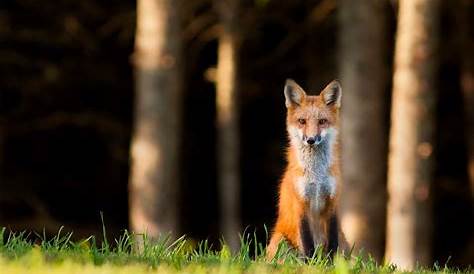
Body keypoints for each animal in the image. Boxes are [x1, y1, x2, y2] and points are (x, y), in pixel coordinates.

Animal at [264, 78, 350, 260]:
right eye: (302, 121)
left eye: (322, 121)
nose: (311, 139)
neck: (316, 176)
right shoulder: (301, 203)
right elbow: (307, 242)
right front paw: (311, 263)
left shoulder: (332, 201)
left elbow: (332, 242)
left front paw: (330, 263)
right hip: (281, 241)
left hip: (344, 243)